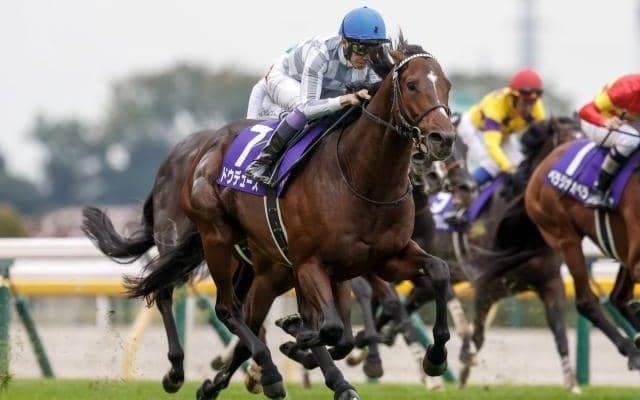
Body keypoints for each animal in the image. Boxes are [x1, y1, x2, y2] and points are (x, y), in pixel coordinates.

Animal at [86, 36, 456, 400]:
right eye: (411, 85)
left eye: (447, 85)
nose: (443, 139)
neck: (362, 179)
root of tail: (201, 150)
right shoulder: (310, 263)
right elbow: (330, 327)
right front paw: (296, 339)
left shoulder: (383, 258)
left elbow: (436, 273)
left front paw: (435, 358)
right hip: (213, 238)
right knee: (212, 305)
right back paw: (198, 371)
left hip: (260, 268)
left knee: (249, 316)